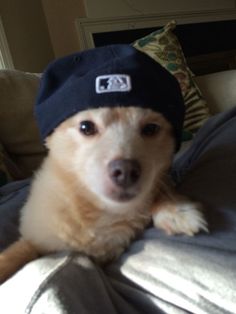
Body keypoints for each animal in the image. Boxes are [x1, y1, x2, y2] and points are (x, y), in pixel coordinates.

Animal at [0, 106, 206, 284]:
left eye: (151, 128)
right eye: (86, 127)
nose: (126, 171)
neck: (96, 210)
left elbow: (160, 188)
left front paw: (176, 211)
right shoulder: (38, 238)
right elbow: (19, 251)